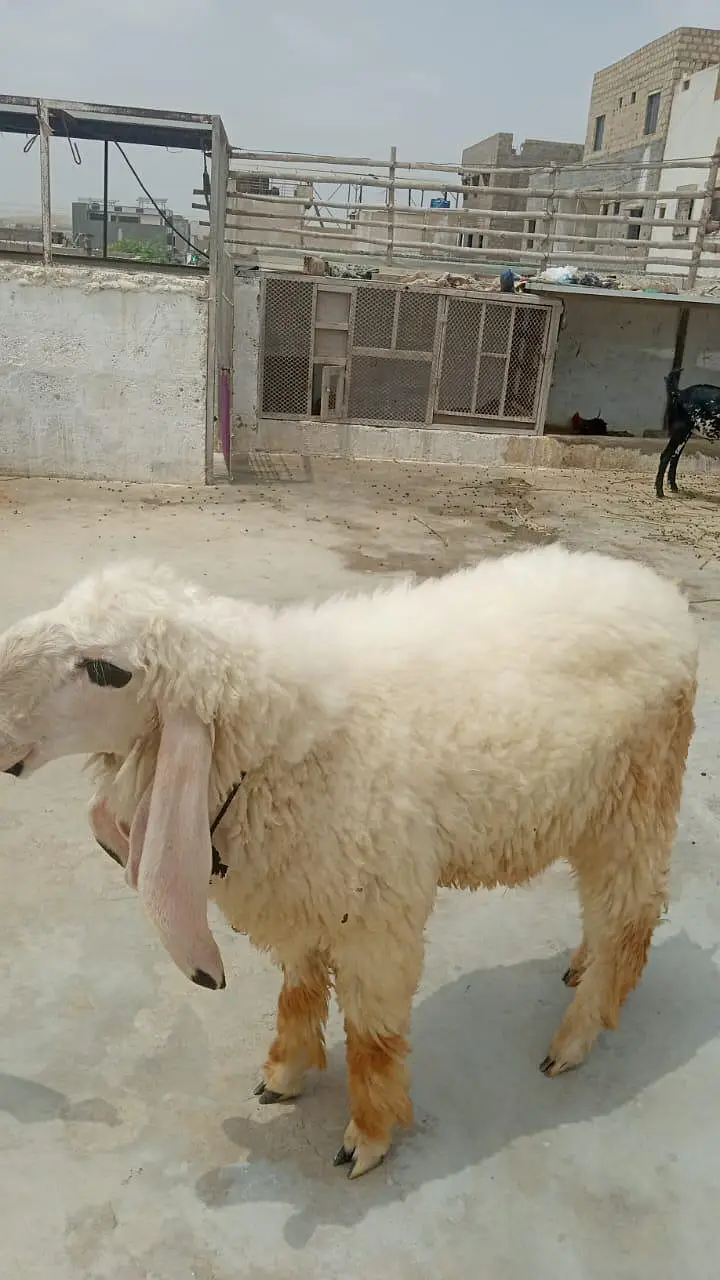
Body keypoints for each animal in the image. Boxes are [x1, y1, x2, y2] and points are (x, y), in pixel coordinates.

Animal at [0, 546, 698, 1179]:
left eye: (106, 671)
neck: (279, 744)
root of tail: (666, 597)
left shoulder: (377, 916)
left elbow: (373, 1038)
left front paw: (367, 1136)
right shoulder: (304, 891)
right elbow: (300, 989)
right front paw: (283, 1074)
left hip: (637, 801)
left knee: (631, 918)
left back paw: (576, 1037)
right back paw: (580, 968)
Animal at [655, 367, 720, 499]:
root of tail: (680, 393)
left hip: (685, 434)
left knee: (675, 456)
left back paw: (673, 487)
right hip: (680, 430)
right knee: (665, 456)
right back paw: (660, 492)